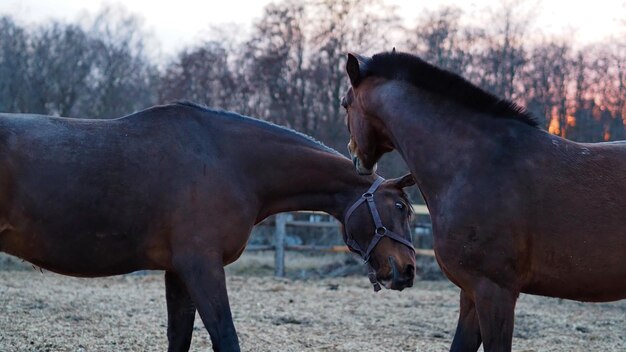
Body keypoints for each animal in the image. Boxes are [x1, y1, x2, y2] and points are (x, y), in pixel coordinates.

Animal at [1, 100, 420, 350]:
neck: (230, 163)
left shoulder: (178, 271)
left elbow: (180, 338)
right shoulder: (201, 266)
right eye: (400, 207)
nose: (408, 270)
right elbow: (225, 337)